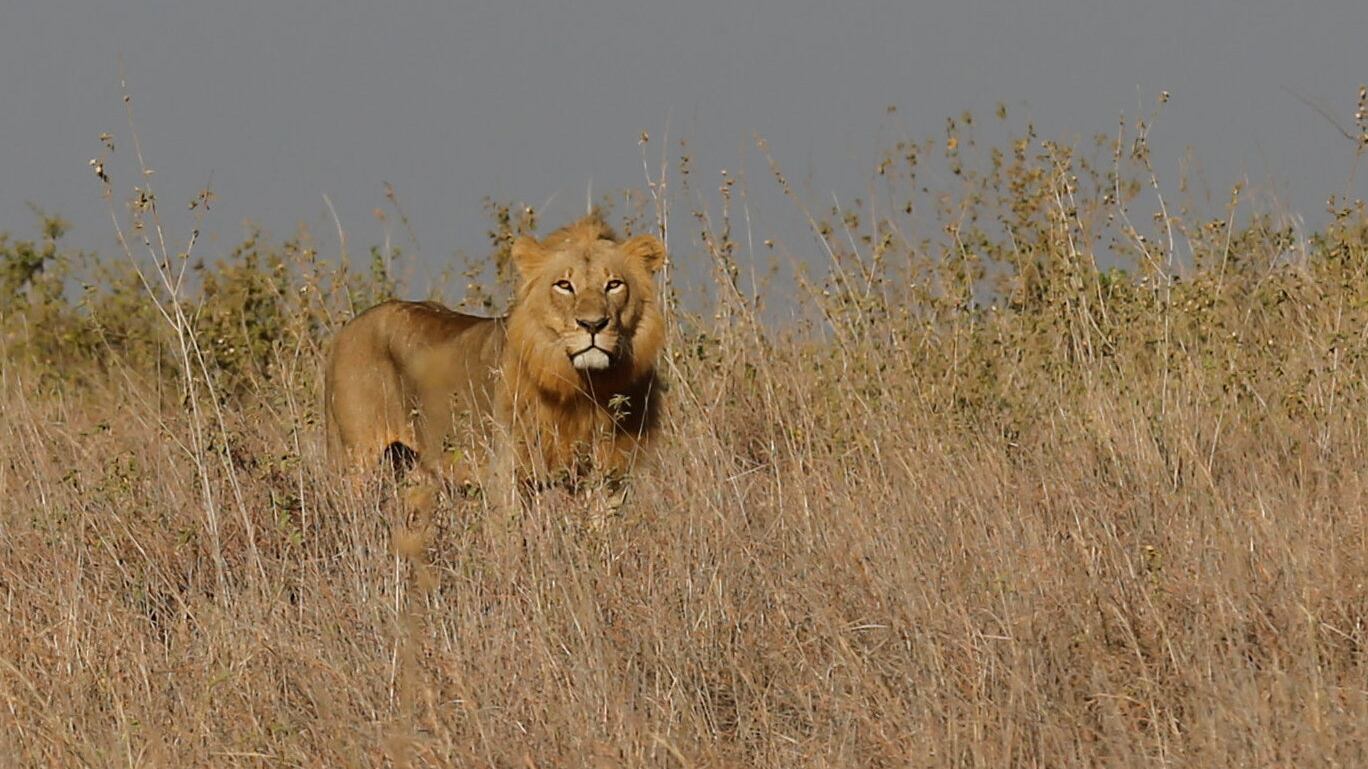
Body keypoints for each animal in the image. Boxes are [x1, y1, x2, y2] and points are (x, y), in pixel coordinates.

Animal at [324, 215, 667, 500]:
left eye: (614, 284)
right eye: (564, 285)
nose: (593, 325)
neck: (587, 386)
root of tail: (346, 329)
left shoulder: (611, 476)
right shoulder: (506, 474)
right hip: (358, 459)